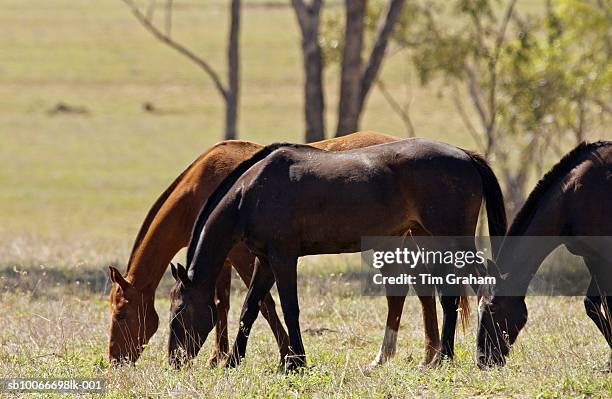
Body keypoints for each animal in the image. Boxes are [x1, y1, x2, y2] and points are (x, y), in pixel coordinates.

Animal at [107, 132, 400, 366]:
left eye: (121, 315)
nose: (115, 360)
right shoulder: (224, 260)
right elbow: (223, 304)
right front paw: (219, 357)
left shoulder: (244, 255)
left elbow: (265, 304)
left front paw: (287, 355)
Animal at [167, 138, 506, 372]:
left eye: (179, 312)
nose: (174, 360)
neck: (251, 193)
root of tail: (465, 155)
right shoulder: (264, 262)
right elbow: (250, 308)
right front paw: (232, 362)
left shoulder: (283, 258)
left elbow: (290, 309)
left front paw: (296, 362)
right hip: (433, 241)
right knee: (450, 296)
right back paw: (441, 358)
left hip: (453, 240)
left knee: (483, 286)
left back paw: (485, 354)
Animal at [478, 142, 612, 370]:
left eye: (493, 308)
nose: (482, 359)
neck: (572, 197)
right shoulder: (592, 257)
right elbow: (592, 305)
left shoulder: (604, 257)